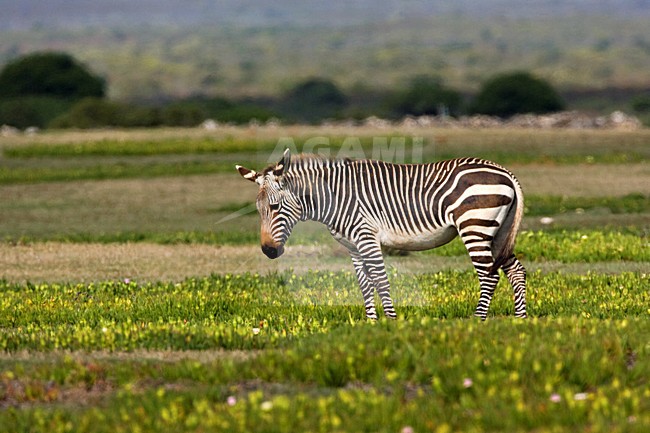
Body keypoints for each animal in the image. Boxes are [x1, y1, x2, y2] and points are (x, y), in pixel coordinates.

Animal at [236, 149, 526, 320]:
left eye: (275, 207)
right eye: (258, 210)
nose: (268, 251)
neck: (333, 198)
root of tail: (506, 172)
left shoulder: (366, 236)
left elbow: (380, 279)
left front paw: (391, 322)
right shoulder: (353, 245)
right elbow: (364, 284)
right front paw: (371, 324)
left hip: (475, 225)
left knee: (488, 275)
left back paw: (478, 320)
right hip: (498, 231)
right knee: (516, 270)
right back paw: (520, 319)